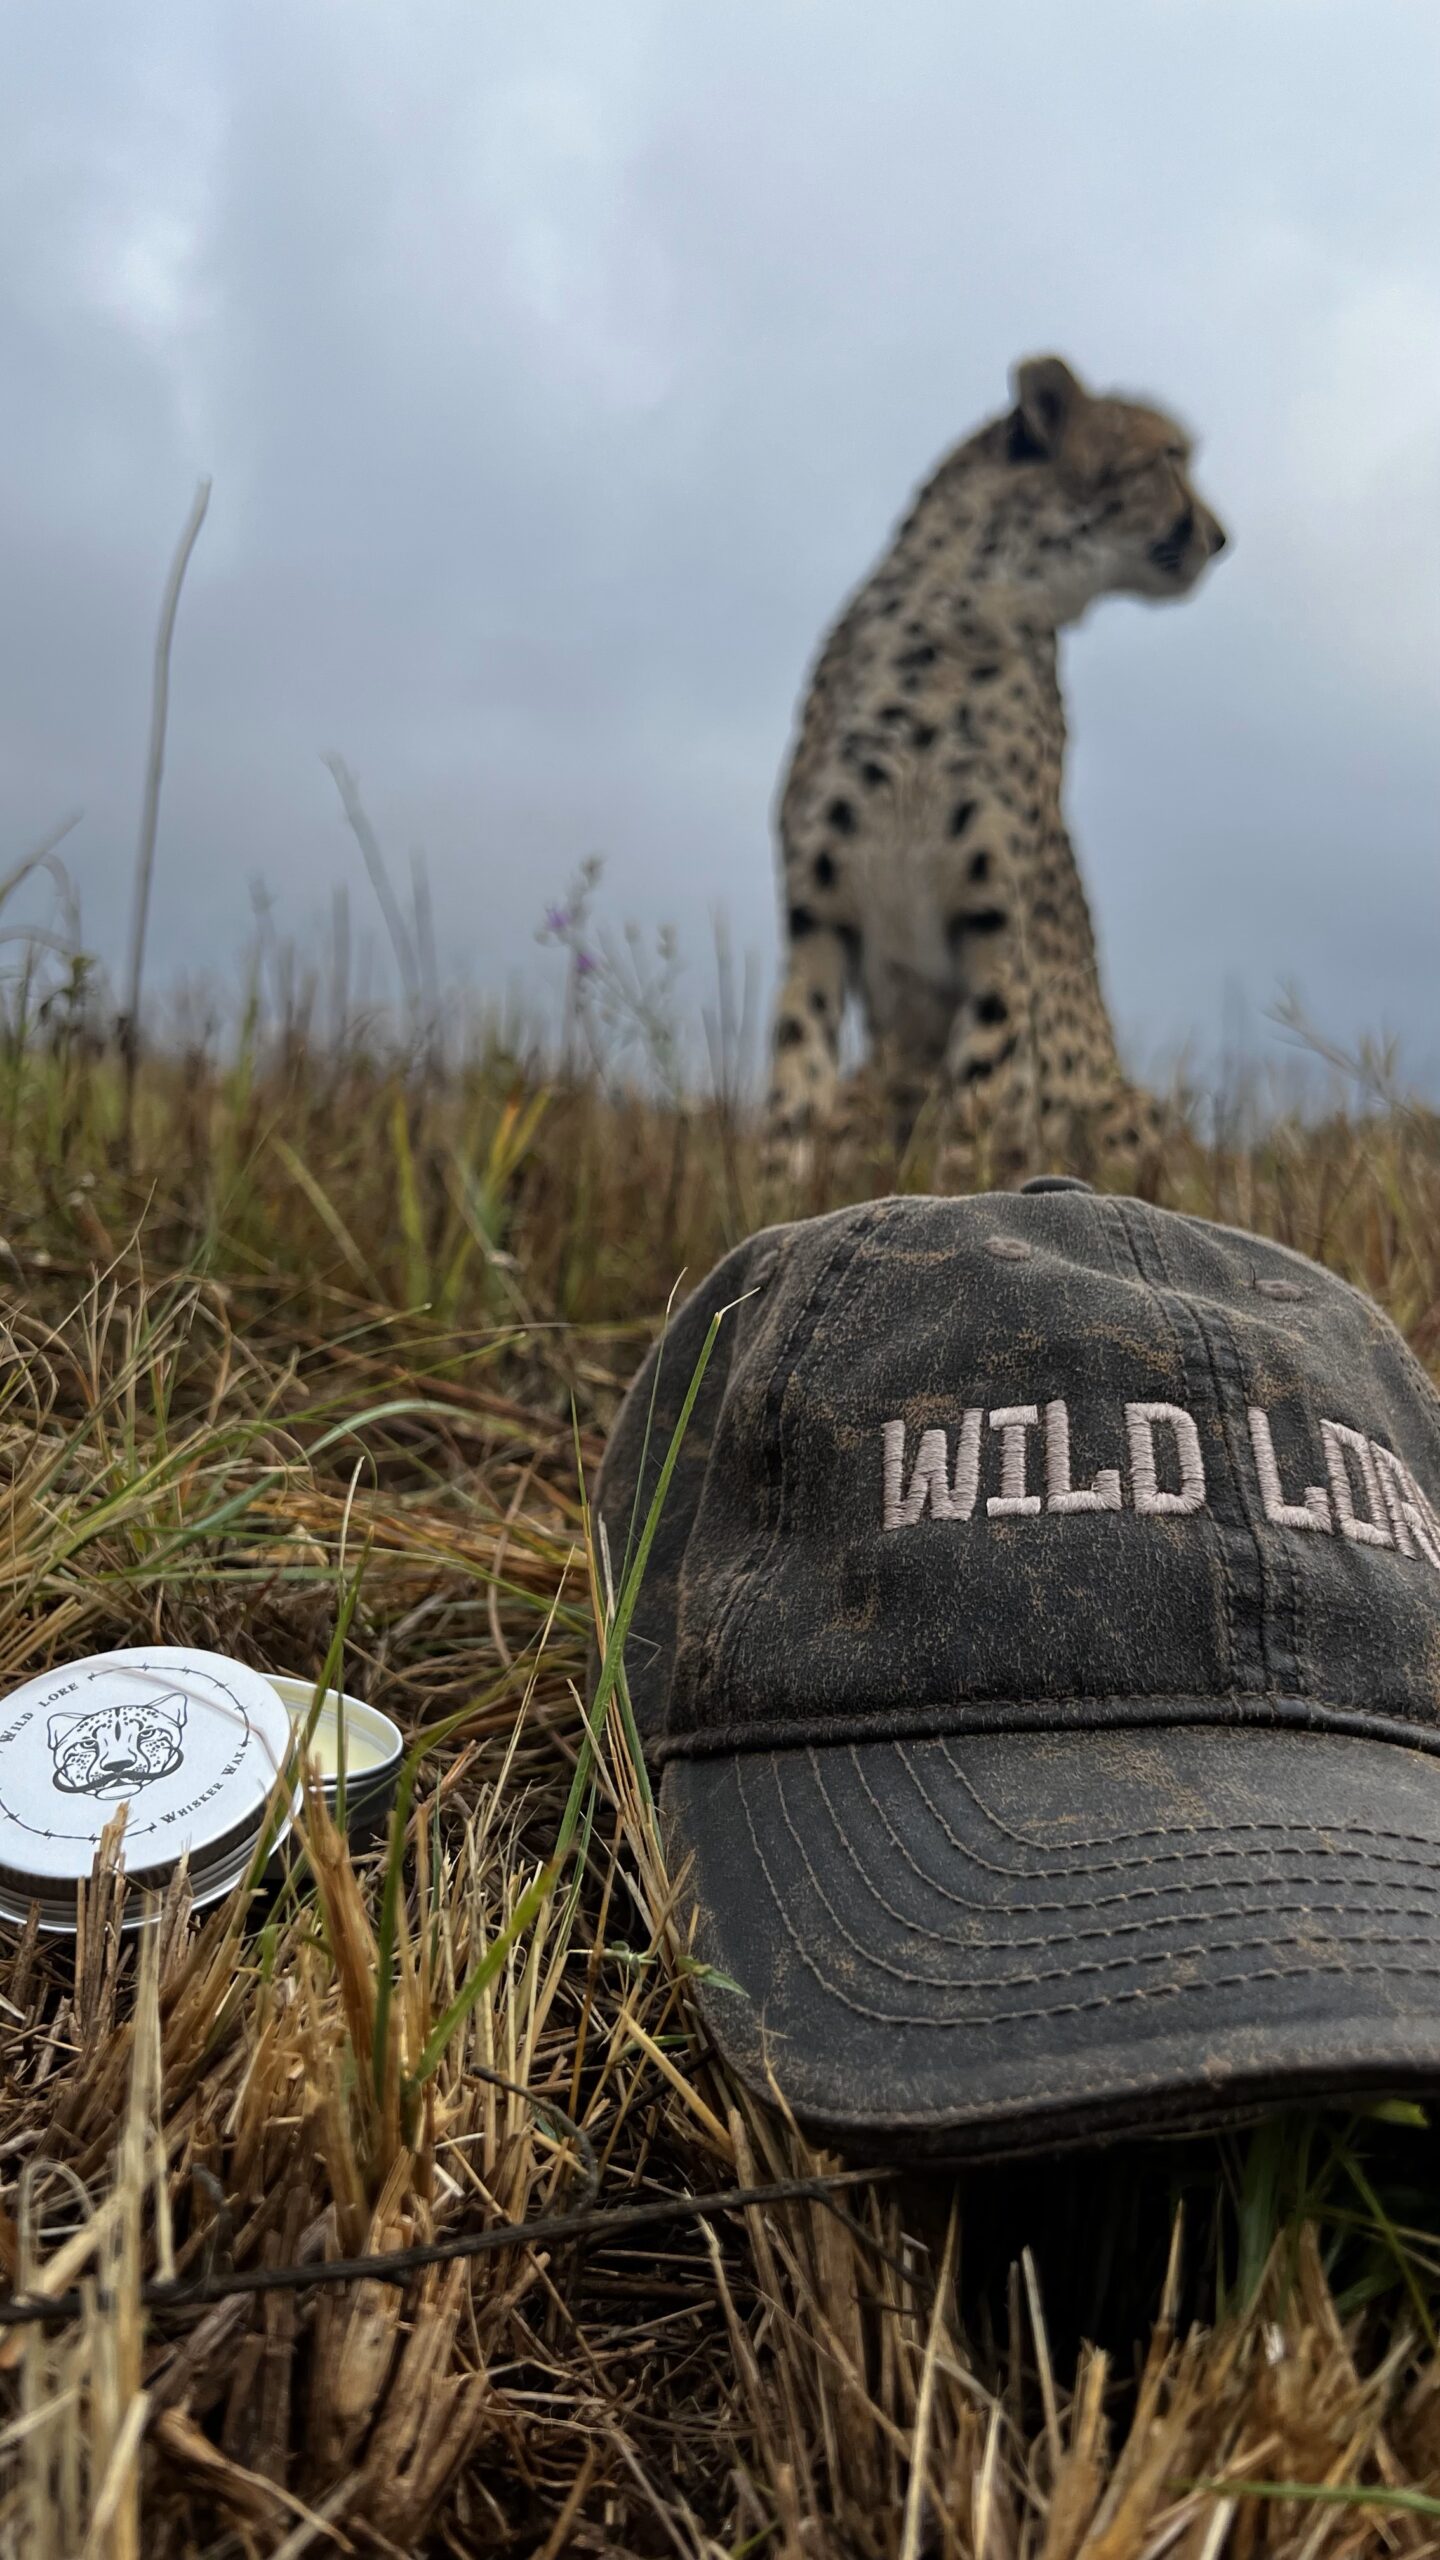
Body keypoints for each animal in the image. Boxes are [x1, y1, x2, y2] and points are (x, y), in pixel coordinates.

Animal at [763, 355, 1219, 1182]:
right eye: (1168, 457)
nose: (1221, 536)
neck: (957, 629)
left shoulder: (997, 933)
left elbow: (978, 1107)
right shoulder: (817, 924)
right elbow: (793, 1089)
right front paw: (769, 1199)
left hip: (1123, 1104)